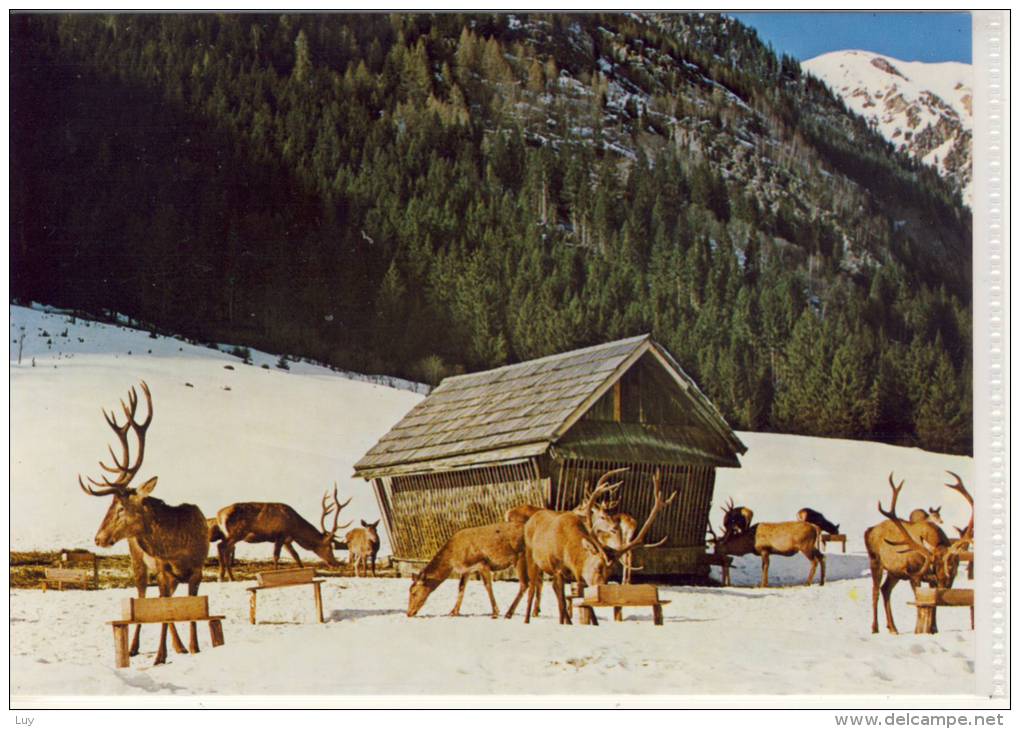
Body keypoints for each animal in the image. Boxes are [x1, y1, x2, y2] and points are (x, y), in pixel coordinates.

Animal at [79, 381, 209, 668]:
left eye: (120, 507)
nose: (98, 538)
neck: (178, 548)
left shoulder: (198, 569)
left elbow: (192, 611)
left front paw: (194, 647)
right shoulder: (162, 570)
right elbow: (161, 612)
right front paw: (160, 656)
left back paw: (180, 646)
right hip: (138, 562)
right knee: (141, 599)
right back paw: (136, 647)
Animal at [214, 485, 350, 583]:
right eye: (329, 547)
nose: (335, 563)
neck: (295, 528)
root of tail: (219, 515)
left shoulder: (287, 540)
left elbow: (296, 555)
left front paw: (304, 571)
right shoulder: (280, 535)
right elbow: (276, 556)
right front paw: (275, 573)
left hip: (232, 535)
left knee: (225, 549)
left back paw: (228, 577)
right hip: (237, 532)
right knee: (221, 546)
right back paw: (224, 577)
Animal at [522, 473, 673, 628]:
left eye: (610, 573)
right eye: (597, 567)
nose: (605, 593)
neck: (569, 554)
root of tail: (532, 518)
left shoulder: (579, 576)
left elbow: (585, 602)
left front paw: (593, 622)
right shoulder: (558, 568)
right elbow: (563, 601)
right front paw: (568, 622)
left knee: (551, 588)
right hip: (531, 556)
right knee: (533, 586)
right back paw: (527, 618)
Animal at [864, 473, 975, 632]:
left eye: (952, 563)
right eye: (935, 565)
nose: (944, 585)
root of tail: (869, 530)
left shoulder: (931, 581)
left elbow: (934, 604)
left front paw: (934, 629)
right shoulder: (914, 574)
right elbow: (919, 603)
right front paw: (921, 630)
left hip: (895, 571)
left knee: (885, 590)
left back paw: (893, 628)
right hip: (875, 560)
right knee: (875, 591)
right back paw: (875, 628)